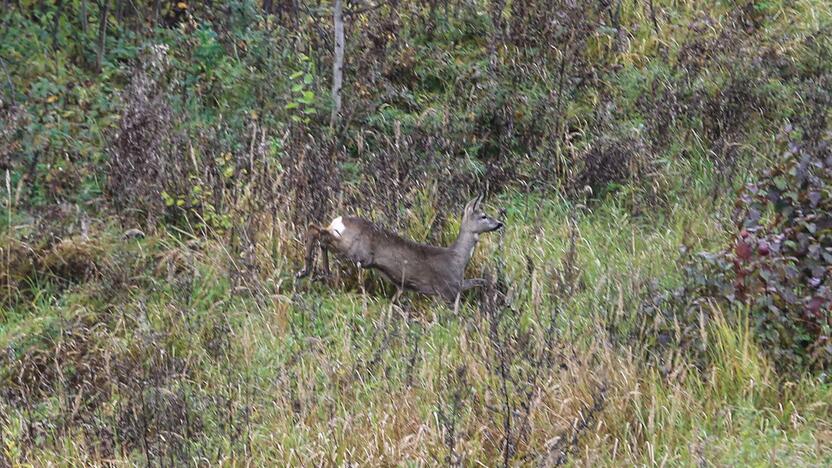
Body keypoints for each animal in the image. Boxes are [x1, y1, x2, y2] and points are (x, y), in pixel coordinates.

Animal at [300, 195, 508, 302]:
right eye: (483, 215)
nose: (499, 223)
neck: (457, 259)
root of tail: (339, 220)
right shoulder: (447, 289)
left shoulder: (456, 285)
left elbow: (482, 281)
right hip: (355, 250)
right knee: (317, 231)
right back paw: (307, 270)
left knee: (317, 231)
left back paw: (319, 272)